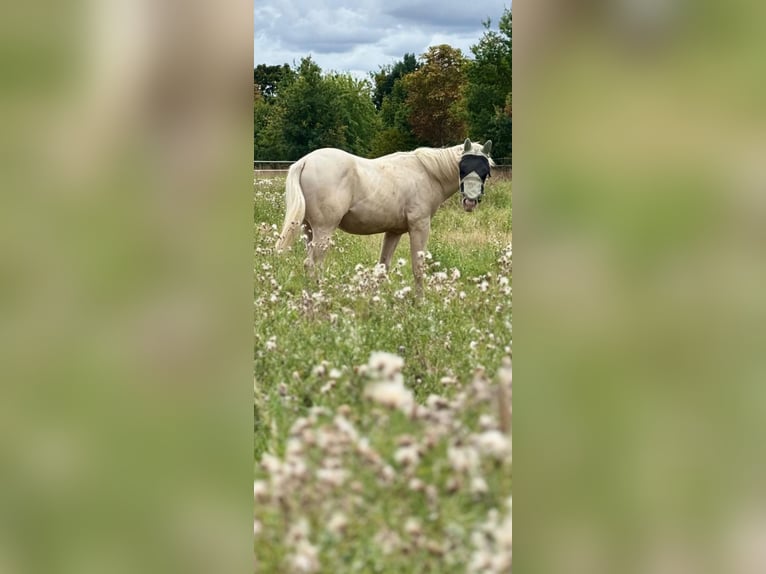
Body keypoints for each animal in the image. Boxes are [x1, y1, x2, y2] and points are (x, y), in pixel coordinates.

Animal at [275, 138, 493, 291]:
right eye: (463, 166)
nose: (470, 201)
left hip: (309, 230)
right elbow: (418, 268)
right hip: (324, 230)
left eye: (485, 169)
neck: (428, 174)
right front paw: (419, 303)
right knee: (313, 264)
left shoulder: (393, 232)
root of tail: (305, 161)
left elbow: (382, 268)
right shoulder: (419, 226)